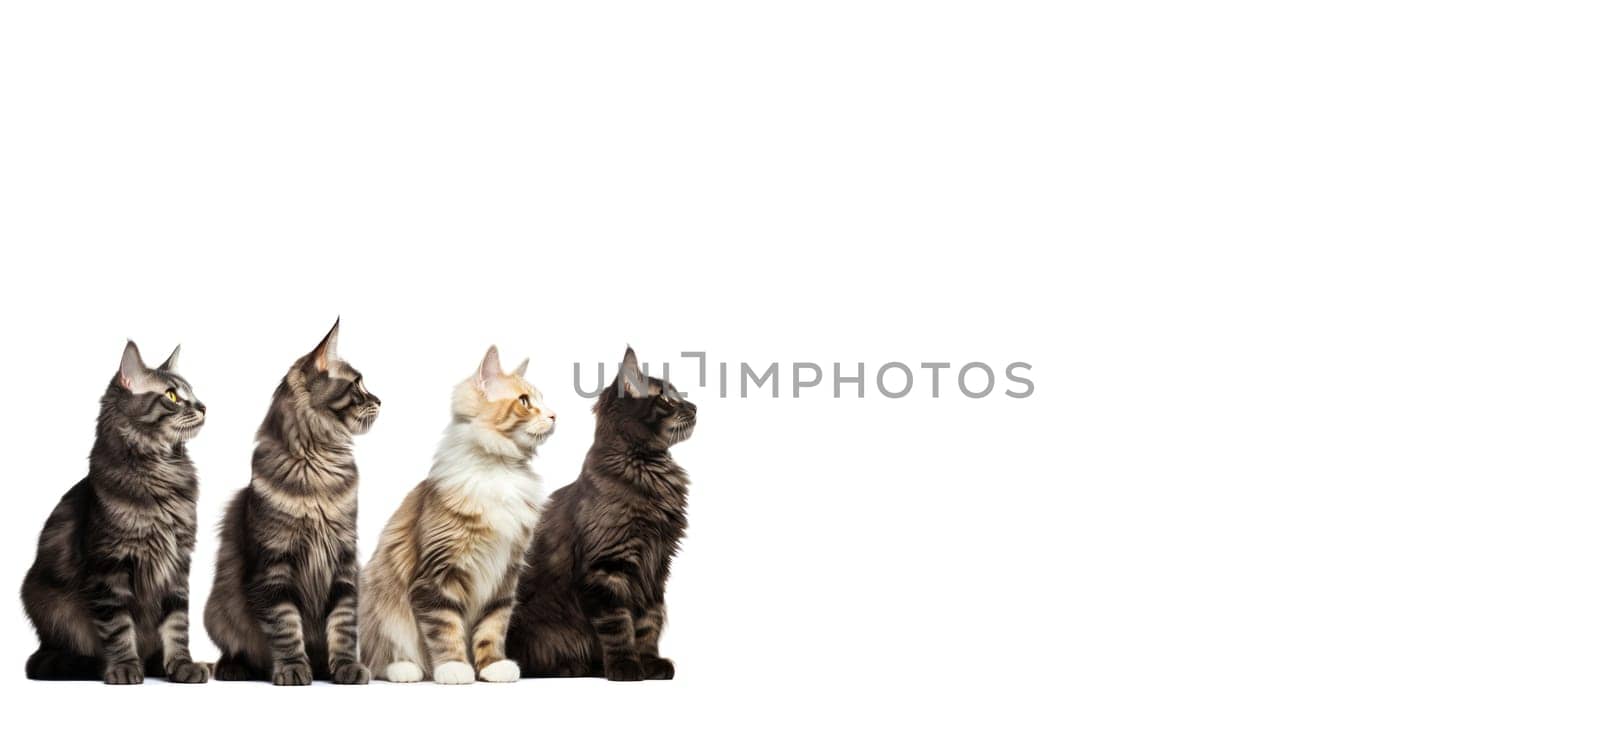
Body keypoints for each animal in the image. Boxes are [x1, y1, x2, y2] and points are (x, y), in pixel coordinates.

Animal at [358, 348, 553, 681]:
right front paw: (454, 667)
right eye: (525, 401)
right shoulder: (437, 575)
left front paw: (492, 666)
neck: (499, 468)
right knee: (379, 655)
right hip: (379, 601)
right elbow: (445, 627)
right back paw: (405, 669)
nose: (554, 416)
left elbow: (492, 626)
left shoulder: (504, 573)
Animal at [505, 348, 694, 681]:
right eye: (666, 399)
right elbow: (618, 625)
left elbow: (649, 622)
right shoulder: (608, 567)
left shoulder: (655, 567)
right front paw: (625, 667)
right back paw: (573, 666)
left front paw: (649, 662)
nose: (695, 407)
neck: (647, 468)